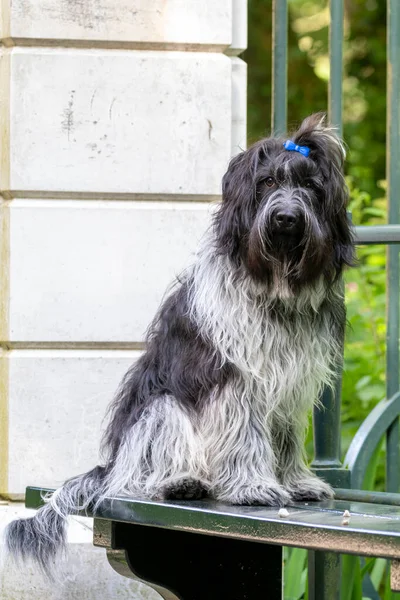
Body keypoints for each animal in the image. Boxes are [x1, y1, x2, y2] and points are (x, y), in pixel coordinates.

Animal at [3, 110, 354, 576]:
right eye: (266, 183)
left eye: (311, 187)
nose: (285, 218)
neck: (274, 290)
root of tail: (110, 465)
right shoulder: (232, 375)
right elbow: (243, 430)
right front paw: (252, 486)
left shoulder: (290, 382)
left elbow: (285, 437)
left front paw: (296, 482)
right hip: (158, 410)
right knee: (145, 464)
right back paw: (182, 483)